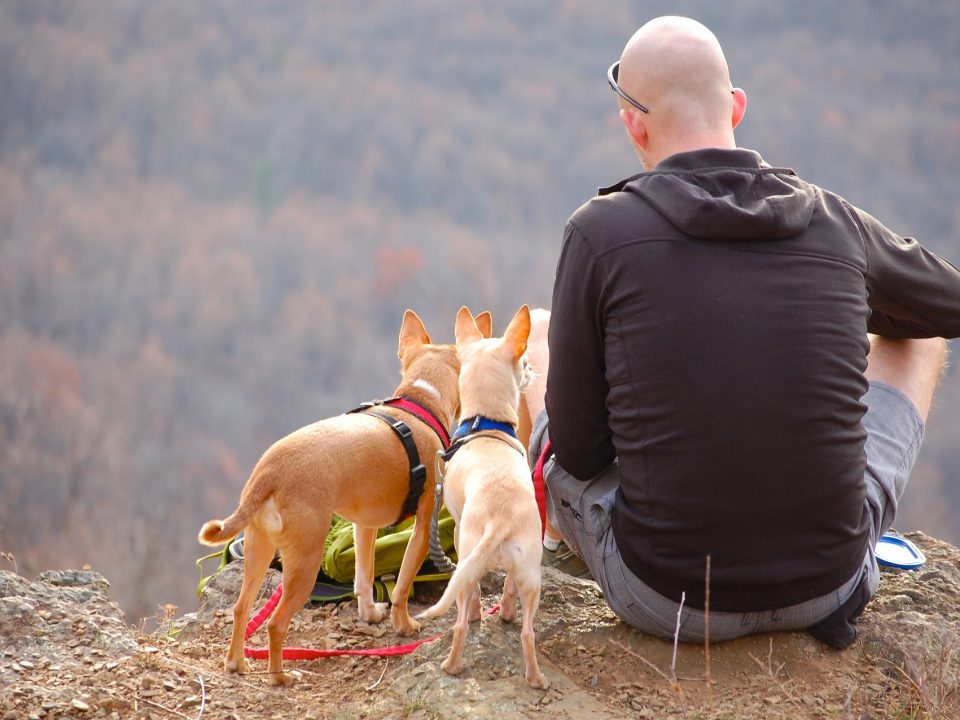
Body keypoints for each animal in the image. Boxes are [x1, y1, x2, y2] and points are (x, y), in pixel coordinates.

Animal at [197, 310, 460, 688]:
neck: (419, 403)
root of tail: (269, 472)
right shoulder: (424, 526)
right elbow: (402, 587)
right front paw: (404, 625)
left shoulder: (364, 526)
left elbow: (364, 577)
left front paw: (370, 614)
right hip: (304, 563)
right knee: (275, 624)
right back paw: (280, 676)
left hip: (259, 551)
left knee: (241, 607)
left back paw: (237, 664)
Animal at [418, 304, 548, 688]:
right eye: (524, 362)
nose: (532, 369)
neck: (486, 424)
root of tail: (499, 521)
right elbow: (504, 591)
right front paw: (500, 612)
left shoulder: (459, 530)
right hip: (532, 574)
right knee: (527, 631)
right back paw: (535, 677)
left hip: (468, 555)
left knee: (462, 620)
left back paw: (452, 666)